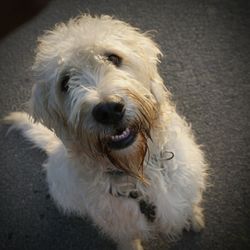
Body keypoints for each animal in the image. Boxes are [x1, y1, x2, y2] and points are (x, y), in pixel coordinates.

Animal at [4, 14, 207, 249]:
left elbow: (188, 203)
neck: (137, 173)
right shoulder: (122, 228)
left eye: (113, 57)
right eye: (65, 82)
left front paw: (193, 217)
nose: (108, 110)